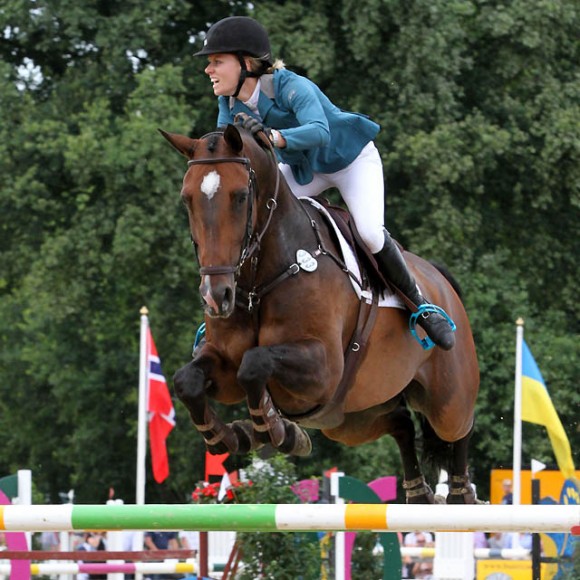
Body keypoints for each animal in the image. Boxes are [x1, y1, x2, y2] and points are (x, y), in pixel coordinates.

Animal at [161, 123, 478, 502]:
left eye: (239, 196)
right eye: (187, 198)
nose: (216, 296)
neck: (258, 282)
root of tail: (441, 281)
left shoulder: (322, 367)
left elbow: (255, 364)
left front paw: (274, 429)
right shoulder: (224, 363)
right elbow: (189, 380)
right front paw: (234, 435)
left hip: (447, 399)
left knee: (459, 428)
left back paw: (460, 492)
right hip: (350, 417)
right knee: (401, 423)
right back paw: (418, 492)